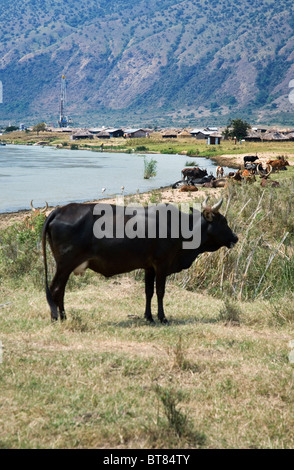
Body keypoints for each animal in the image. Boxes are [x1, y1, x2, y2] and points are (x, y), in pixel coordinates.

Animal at [42, 196, 238, 324]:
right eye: (223, 222)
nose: (235, 238)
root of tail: (59, 210)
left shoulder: (149, 267)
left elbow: (148, 292)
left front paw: (149, 317)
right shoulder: (162, 264)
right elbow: (160, 291)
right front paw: (162, 317)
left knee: (59, 290)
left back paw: (62, 316)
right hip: (65, 264)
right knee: (56, 289)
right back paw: (58, 318)